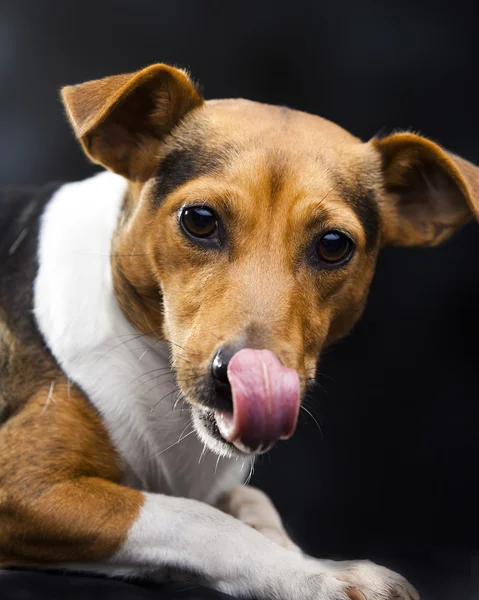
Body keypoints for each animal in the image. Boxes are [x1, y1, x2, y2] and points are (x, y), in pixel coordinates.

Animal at [0, 63, 479, 596]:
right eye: (199, 219)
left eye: (334, 244)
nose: (246, 375)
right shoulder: (27, 485)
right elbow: (197, 518)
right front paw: (315, 576)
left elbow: (254, 503)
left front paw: (304, 559)